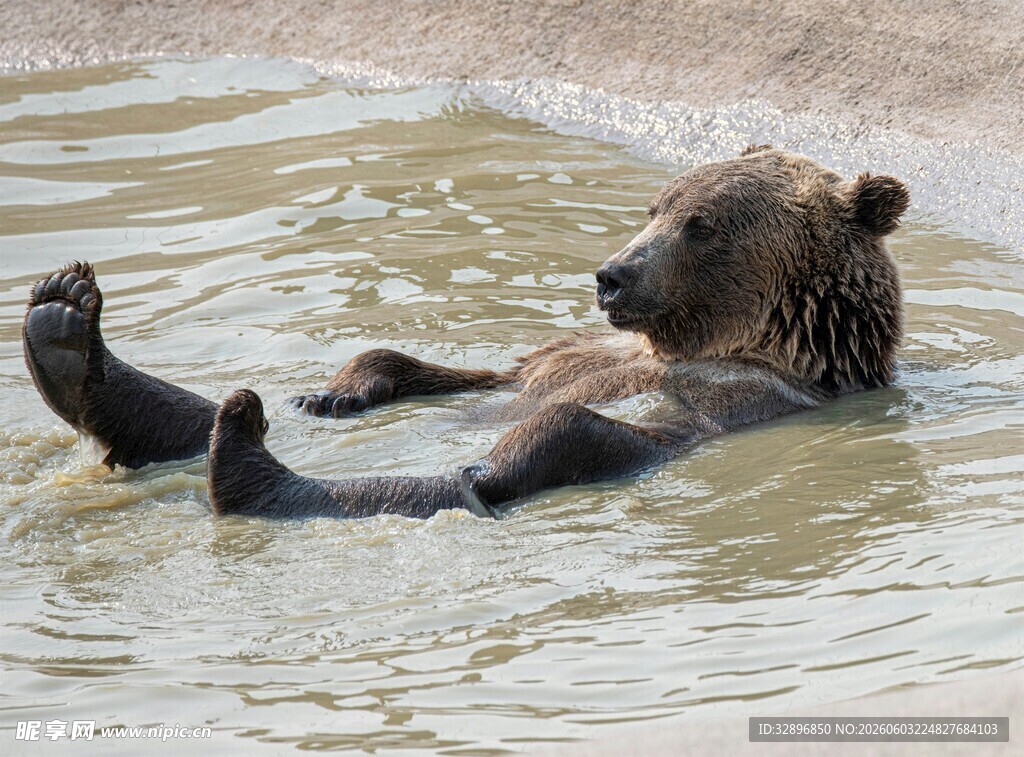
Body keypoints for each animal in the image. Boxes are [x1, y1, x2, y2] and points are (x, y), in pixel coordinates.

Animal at [22, 146, 910, 519]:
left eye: (702, 223)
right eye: (656, 204)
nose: (612, 275)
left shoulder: (739, 398)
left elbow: (593, 420)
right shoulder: (562, 352)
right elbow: (444, 366)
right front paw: (338, 391)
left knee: (518, 455)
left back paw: (246, 461)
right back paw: (64, 324)